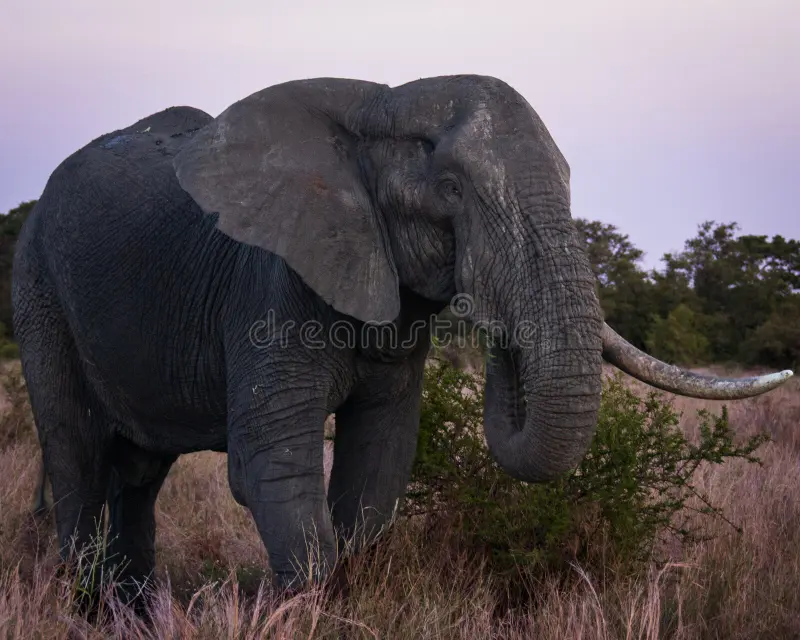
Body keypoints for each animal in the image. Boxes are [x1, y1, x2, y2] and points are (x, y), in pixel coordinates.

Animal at [12, 75, 792, 602]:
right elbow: (272, 466)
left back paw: (134, 610)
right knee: (78, 454)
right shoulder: (269, 280)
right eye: (452, 190)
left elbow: (379, 463)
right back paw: (88, 605)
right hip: (38, 287)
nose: (500, 327)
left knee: (138, 475)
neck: (380, 103)